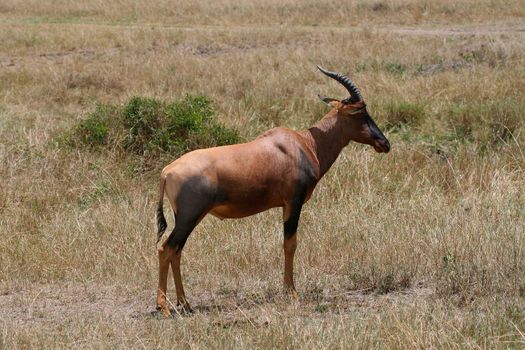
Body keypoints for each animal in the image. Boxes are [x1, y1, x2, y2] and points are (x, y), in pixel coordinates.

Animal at [154, 65, 386, 314]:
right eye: (360, 113)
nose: (385, 143)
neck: (303, 144)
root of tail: (167, 171)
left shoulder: (285, 204)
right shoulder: (293, 202)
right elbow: (290, 244)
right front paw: (291, 293)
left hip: (189, 218)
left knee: (176, 251)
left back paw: (185, 303)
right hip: (189, 217)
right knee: (166, 249)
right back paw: (164, 307)